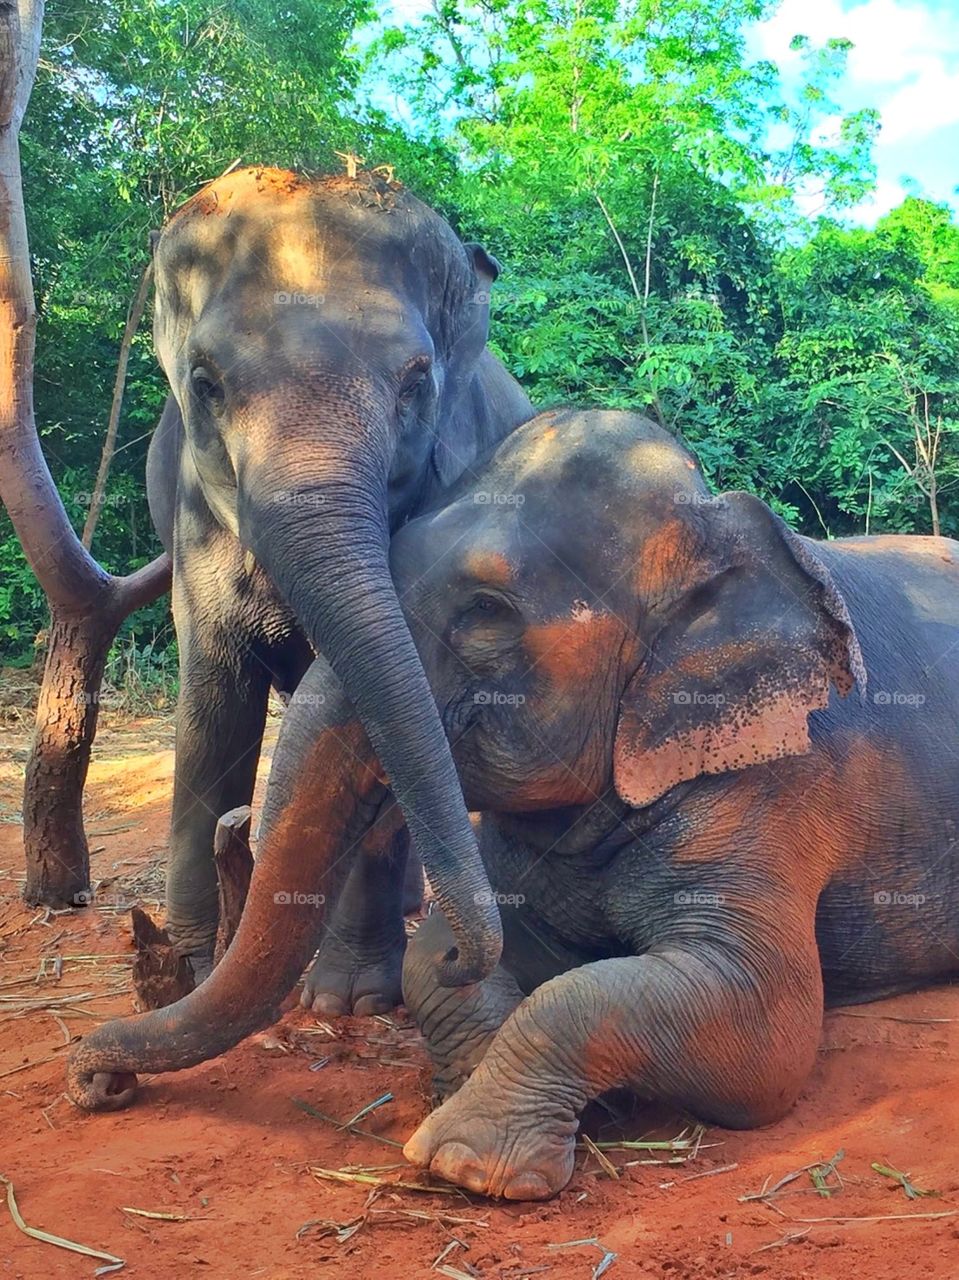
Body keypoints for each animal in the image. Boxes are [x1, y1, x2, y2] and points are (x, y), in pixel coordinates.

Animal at [68, 409, 959, 1204]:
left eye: (486, 614)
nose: (96, 1080)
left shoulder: (773, 787)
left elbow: (761, 1032)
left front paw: (465, 1163)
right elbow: (443, 959)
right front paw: (476, 1067)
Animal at [143, 164, 532, 1011]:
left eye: (416, 383)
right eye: (204, 383)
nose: (460, 962)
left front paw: (347, 1001)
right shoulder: (189, 519)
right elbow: (213, 704)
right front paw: (184, 968)